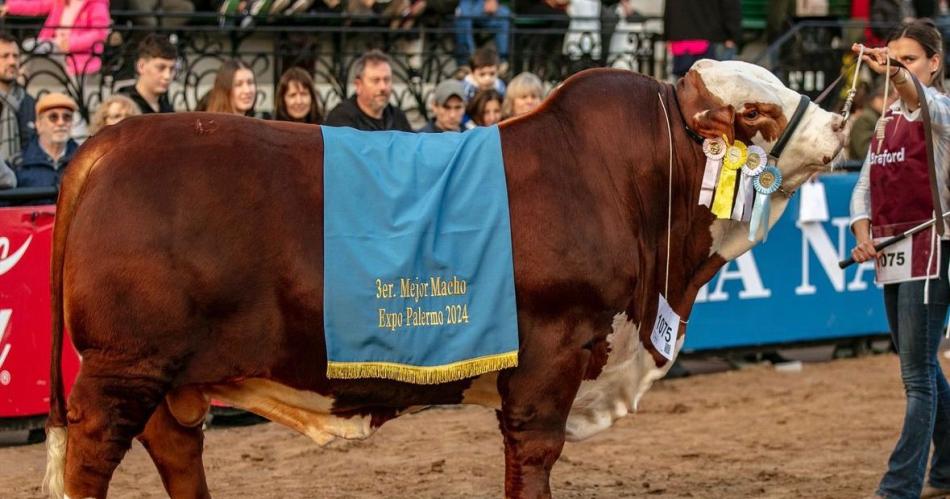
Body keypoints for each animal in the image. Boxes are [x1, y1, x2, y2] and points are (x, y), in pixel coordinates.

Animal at [41, 59, 844, 499]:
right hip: (122, 367)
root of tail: (105, 145)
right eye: (757, 110)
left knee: (176, 448)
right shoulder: (551, 355)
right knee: (93, 455)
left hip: (165, 373)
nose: (839, 122)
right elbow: (533, 459)